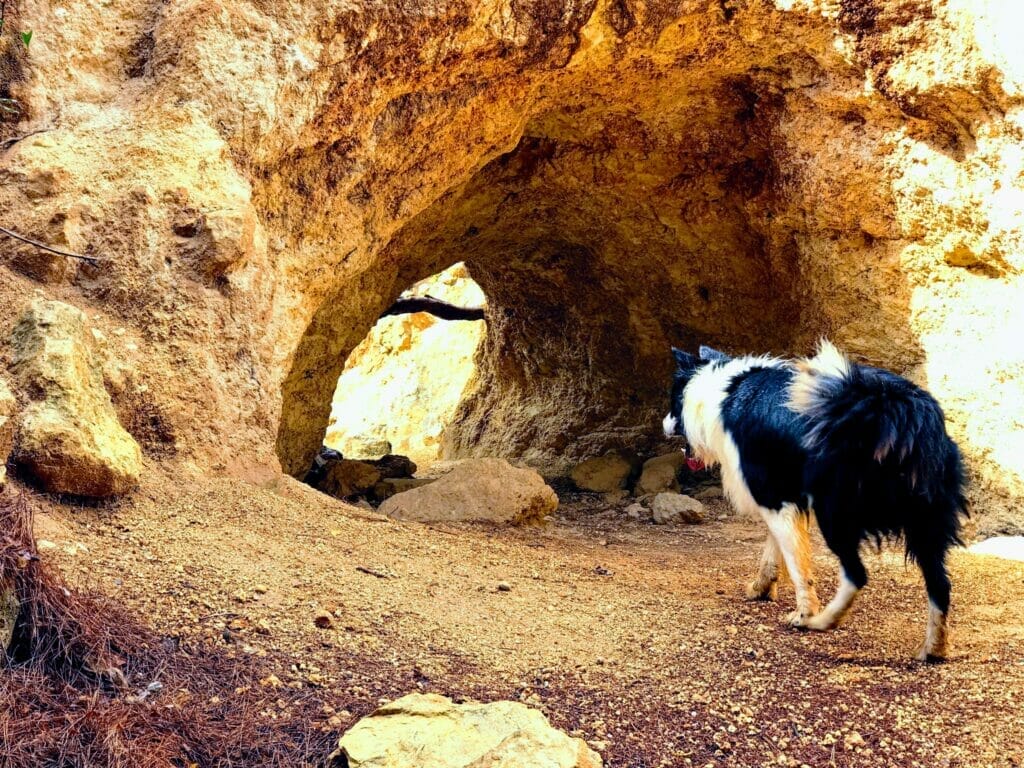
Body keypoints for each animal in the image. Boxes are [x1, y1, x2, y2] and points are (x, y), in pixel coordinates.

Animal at [663, 342, 966, 663]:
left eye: (672, 398)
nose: (663, 423)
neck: (720, 388)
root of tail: (895, 409)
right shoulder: (785, 497)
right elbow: (775, 551)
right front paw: (761, 588)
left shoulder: (771, 495)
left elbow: (796, 563)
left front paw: (803, 613)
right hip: (926, 520)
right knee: (940, 584)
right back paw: (934, 649)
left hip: (836, 512)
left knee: (856, 574)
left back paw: (823, 621)